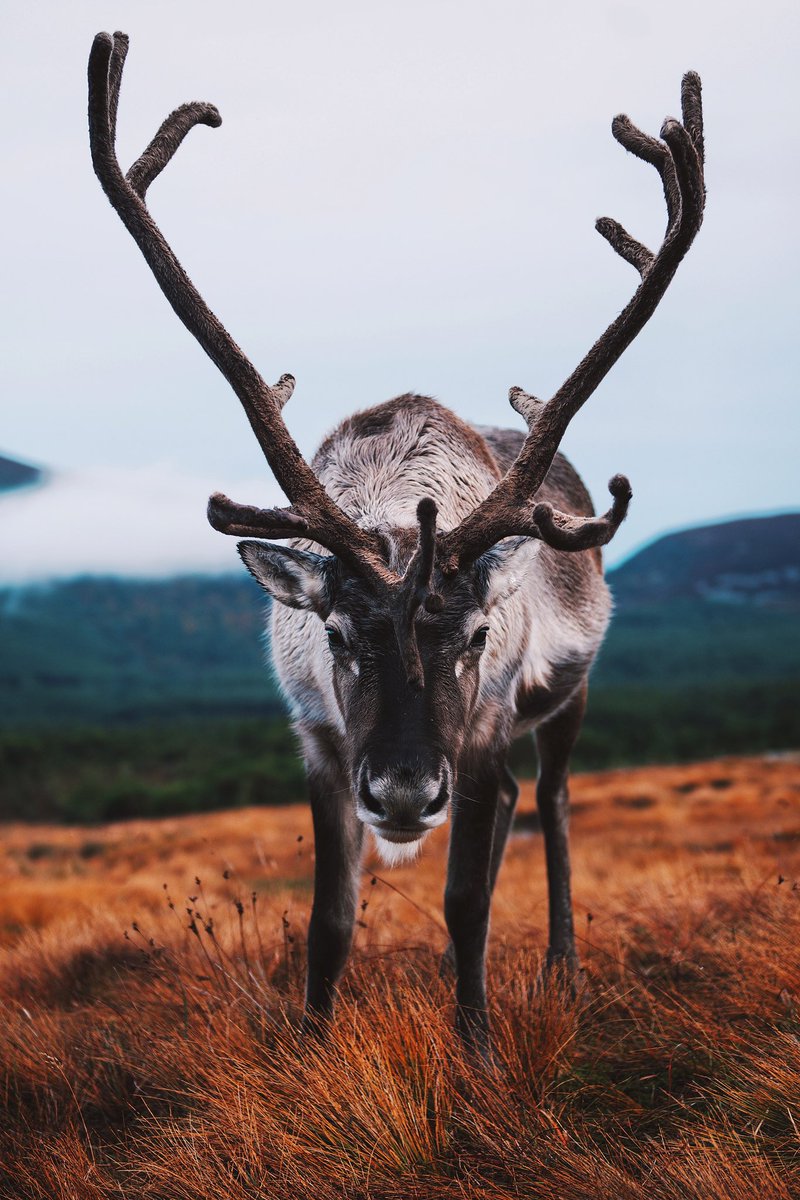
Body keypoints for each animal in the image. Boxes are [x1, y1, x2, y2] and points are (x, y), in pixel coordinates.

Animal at [88, 32, 705, 1056]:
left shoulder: (487, 719)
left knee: (549, 804)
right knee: (507, 809)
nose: (408, 794)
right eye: (339, 635)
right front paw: (311, 1045)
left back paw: (560, 968)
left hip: (563, 703)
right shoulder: (318, 737)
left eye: (476, 634)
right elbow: (331, 918)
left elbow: (464, 901)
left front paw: (479, 1049)